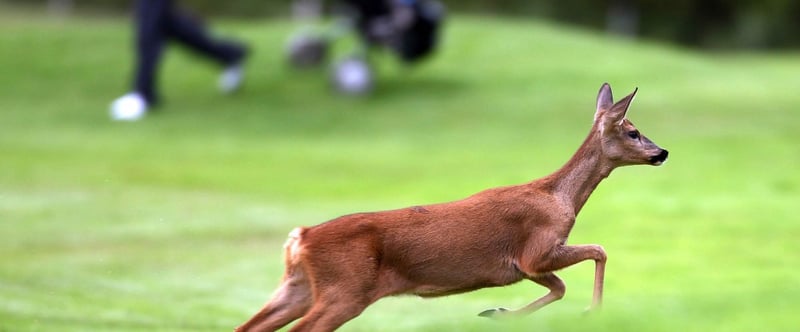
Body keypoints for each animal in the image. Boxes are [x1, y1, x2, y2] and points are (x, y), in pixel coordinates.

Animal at [236, 83, 668, 332]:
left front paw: (498, 313)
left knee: (248, 327)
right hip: (345, 290)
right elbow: (599, 251)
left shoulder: (521, 267)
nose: (662, 152)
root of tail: (301, 237)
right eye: (633, 131)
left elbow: (560, 287)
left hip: (299, 287)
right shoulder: (537, 250)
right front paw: (591, 313)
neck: (558, 197)